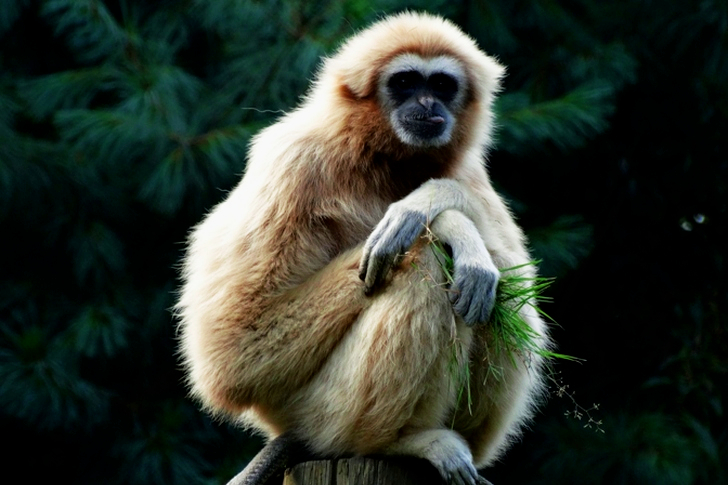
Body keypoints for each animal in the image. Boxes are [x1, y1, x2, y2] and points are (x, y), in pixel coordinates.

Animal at [177, 12, 550, 485]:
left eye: (442, 84)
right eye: (405, 82)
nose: (428, 104)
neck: (379, 158)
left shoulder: (470, 171)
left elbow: (514, 269)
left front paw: (432, 202)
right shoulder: (294, 161)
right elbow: (235, 353)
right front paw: (440, 217)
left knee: (502, 294)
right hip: (319, 413)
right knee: (424, 259)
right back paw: (403, 442)